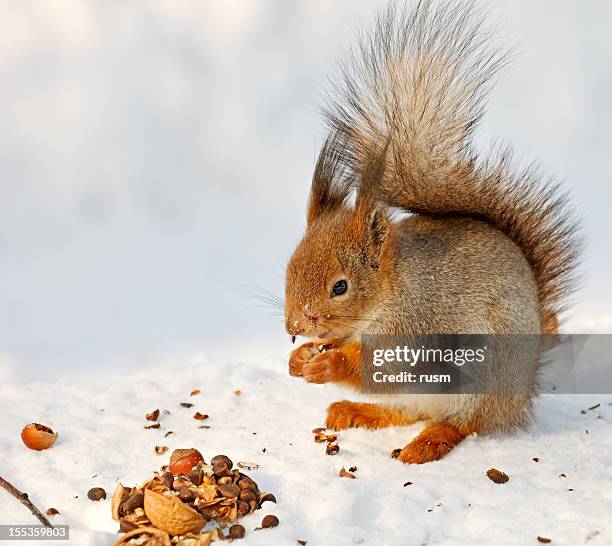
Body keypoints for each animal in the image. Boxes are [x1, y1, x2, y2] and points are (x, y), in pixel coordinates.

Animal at [282, 1, 580, 464]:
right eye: (288, 270)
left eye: (340, 287)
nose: (295, 325)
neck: (390, 293)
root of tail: (521, 393)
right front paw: (299, 359)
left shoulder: (417, 328)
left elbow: (384, 364)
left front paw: (327, 365)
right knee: (406, 411)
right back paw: (357, 410)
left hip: (478, 382)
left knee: (463, 423)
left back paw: (428, 442)